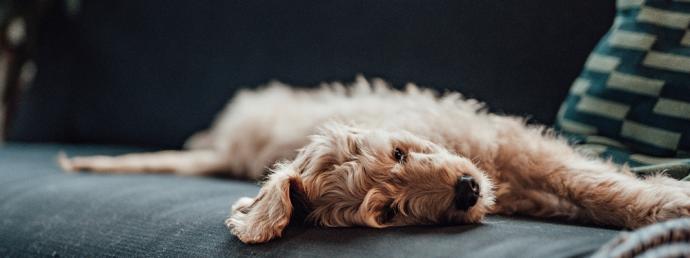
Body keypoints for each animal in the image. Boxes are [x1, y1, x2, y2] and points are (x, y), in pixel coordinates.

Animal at [56, 76, 688, 244]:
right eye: (386, 212)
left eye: (400, 152)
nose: (465, 190)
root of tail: (227, 147)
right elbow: (588, 191)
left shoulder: (514, 142)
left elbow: (589, 180)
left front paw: (667, 200)